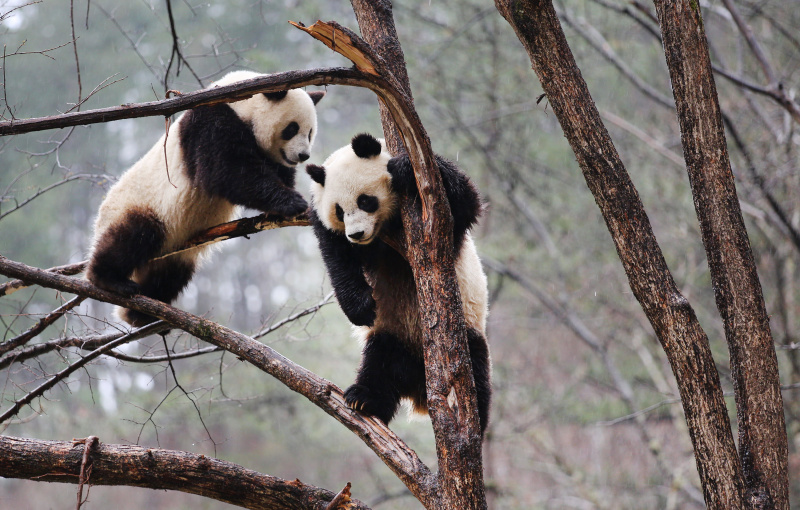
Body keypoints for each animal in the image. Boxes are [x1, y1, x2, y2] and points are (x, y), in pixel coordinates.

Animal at [87, 70, 324, 326]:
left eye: (310, 132)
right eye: (292, 128)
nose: (303, 155)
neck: (240, 104)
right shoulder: (210, 122)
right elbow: (226, 171)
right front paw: (293, 202)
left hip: (177, 252)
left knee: (170, 273)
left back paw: (142, 313)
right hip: (138, 205)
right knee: (133, 234)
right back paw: (109, 280)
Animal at [306, 133, 491, 434]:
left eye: (365, 201)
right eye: (339, 211)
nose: (356, 234)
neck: (386, 228)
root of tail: (420, 390)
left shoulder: (438, 221)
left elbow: (462, 202)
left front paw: (404, 169)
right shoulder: (327, 226)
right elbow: (338, 258)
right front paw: (361, 308)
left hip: (466, 333)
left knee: (476, 372)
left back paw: (475, 422)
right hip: (392, 335)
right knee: (380, 365)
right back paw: (364, 399)